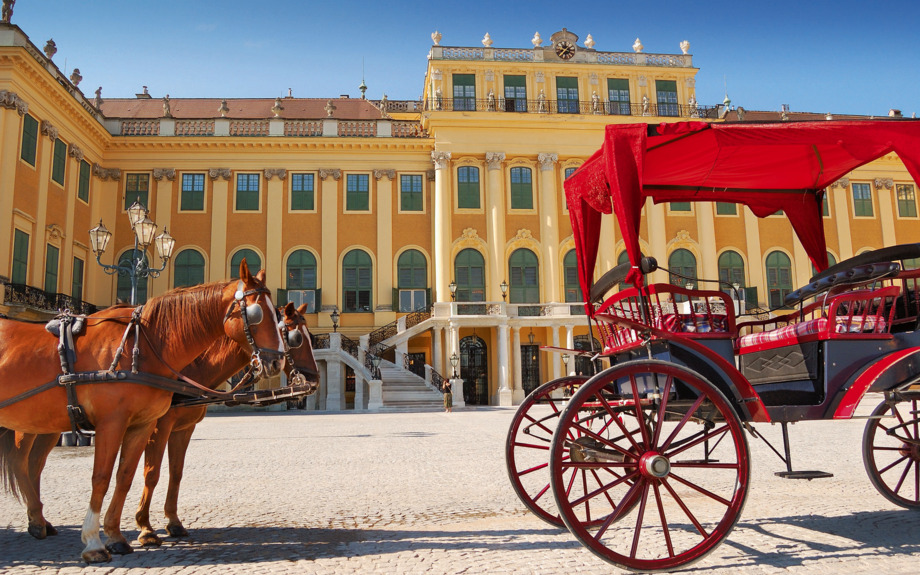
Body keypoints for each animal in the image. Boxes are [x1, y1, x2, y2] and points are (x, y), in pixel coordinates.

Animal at [0, 260, 284, 564]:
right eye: (257, 313)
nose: (277, 362)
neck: (144, 346)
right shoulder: (118, 423)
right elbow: (109, 477)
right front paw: (98, 540)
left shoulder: (147, 424)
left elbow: (130, 475)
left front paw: (116, 536)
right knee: (22, 463)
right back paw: (38, 521)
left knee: (31, 465)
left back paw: (40, 520)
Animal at [133, 304, 320, 548]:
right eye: (296, 338)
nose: (315, 378)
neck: (187, 370)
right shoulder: (158, 427)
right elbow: (151, 473)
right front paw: (145, 528)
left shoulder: (182, 429)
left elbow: (176, 472)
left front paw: (174, 522)